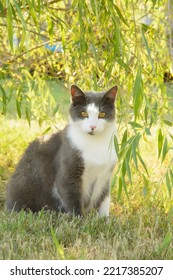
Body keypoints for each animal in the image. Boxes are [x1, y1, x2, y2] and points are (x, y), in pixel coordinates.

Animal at [6, 84, 118, 218]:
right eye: (84, 113)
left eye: (101, 114)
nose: (93, 127)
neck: (95, 143)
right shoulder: (68, 171)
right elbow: (72, 199)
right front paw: (79, 220)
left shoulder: (105, 176)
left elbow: (104, 200)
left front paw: (104, 220)